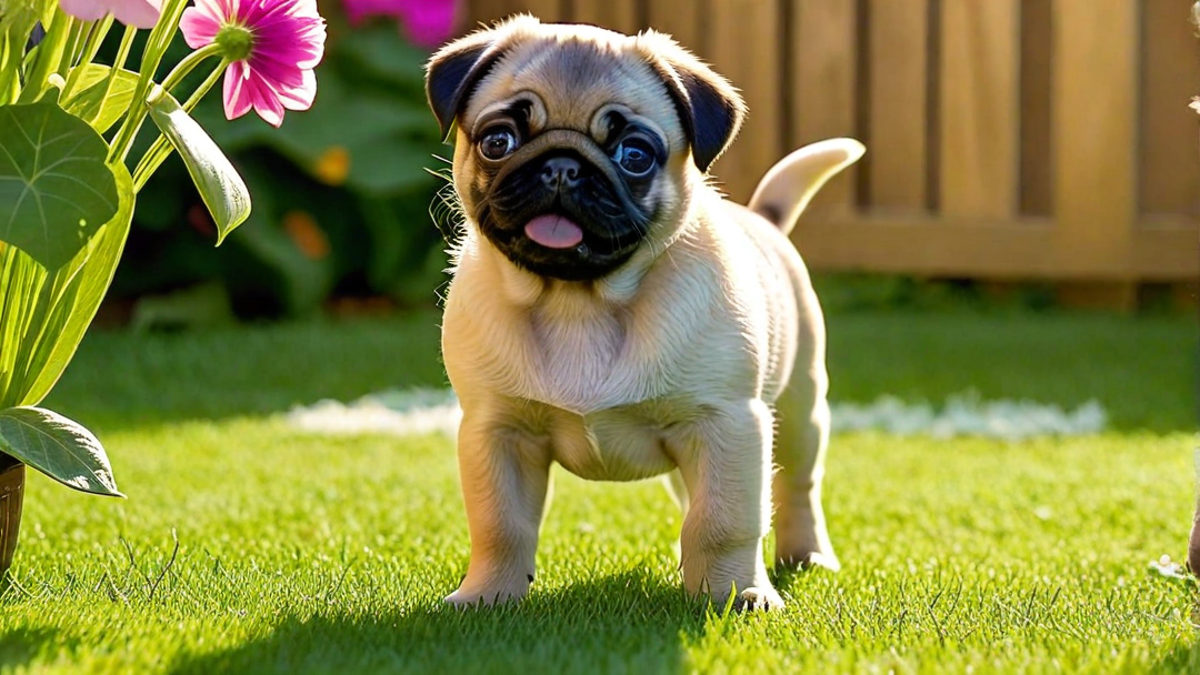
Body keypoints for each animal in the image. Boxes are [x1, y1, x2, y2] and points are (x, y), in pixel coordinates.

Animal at [427, 14, 868, 610]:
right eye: (499, 141)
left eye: (634, 155)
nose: (562, 166)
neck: (579, 303)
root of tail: (764, 220)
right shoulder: (498, 432)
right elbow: (500, 524)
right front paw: (488, 596)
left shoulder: (725, 424)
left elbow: (725, 520)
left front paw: (735, 596)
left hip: (800, 411)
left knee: (796, 485)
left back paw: (806, 556)